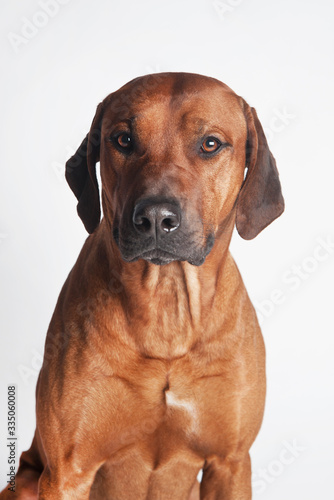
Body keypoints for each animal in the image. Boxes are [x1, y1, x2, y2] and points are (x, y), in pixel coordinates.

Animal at [0, 72, 284, 498]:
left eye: (210, 143)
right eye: (123, 139)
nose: (155, 217)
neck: (167, 306)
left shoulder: (230, 464)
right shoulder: (68, 472)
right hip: (28, 482)